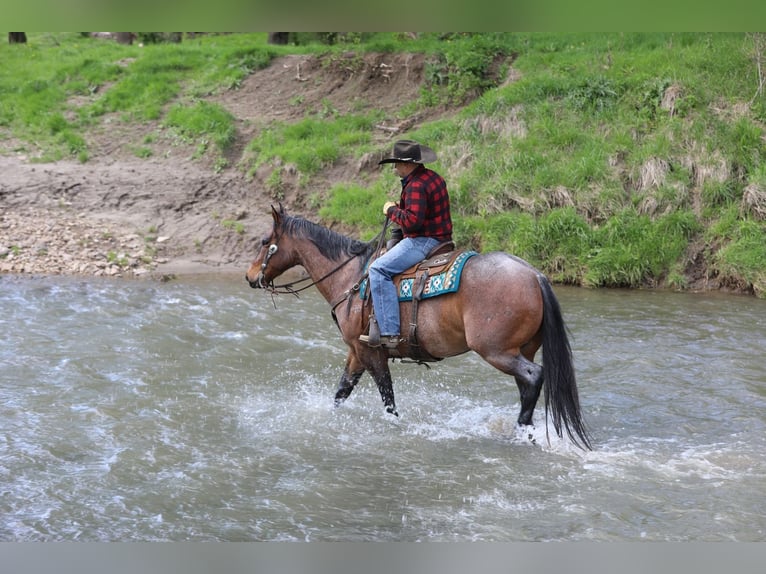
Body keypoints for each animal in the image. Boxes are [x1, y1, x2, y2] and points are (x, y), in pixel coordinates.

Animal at [246, 205, 591, 450]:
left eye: (264, 241)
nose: (250, 277)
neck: (352, 277)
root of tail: (534, 275)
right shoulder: (356, 352)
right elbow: (341, 393)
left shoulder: (371, 352)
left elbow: (388, 400)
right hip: (521, 349)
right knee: (527, 385)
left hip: (497, 351)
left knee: (533, 377)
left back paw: (520, 432)